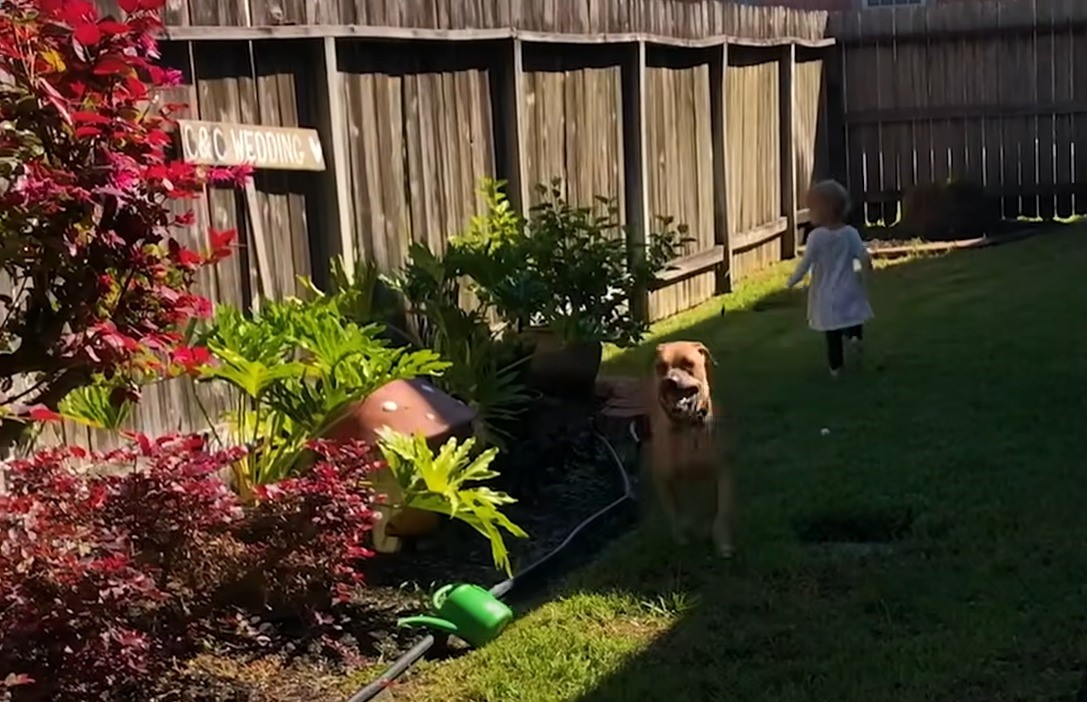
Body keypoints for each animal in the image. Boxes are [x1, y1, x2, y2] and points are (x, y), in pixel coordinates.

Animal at [643, 343, 739, 556]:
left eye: (688, 364)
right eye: (661, 367)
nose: (670, 380)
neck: (689, 428)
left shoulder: (723, 471)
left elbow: (723, 512)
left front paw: (722, 543)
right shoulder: (663, 478)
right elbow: (676, 515)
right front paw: (683, 536)